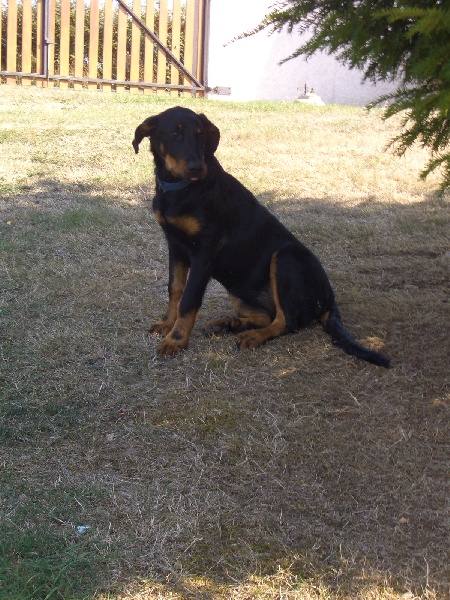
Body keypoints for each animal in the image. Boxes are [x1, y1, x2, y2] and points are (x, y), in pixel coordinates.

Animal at [132, 108, 388, 368]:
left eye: (200, 135)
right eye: (175, 133)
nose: (197, 168)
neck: (179, 189)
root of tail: (329, 299)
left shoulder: (204, 251)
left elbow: (189, 299)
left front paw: (176, 340)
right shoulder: (175, 245)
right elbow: (174, 288)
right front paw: (167, 324)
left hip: (286, 257)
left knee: (287, 322)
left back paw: (253, 336)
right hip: (239, 291)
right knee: (267, 315)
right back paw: (228, 323)